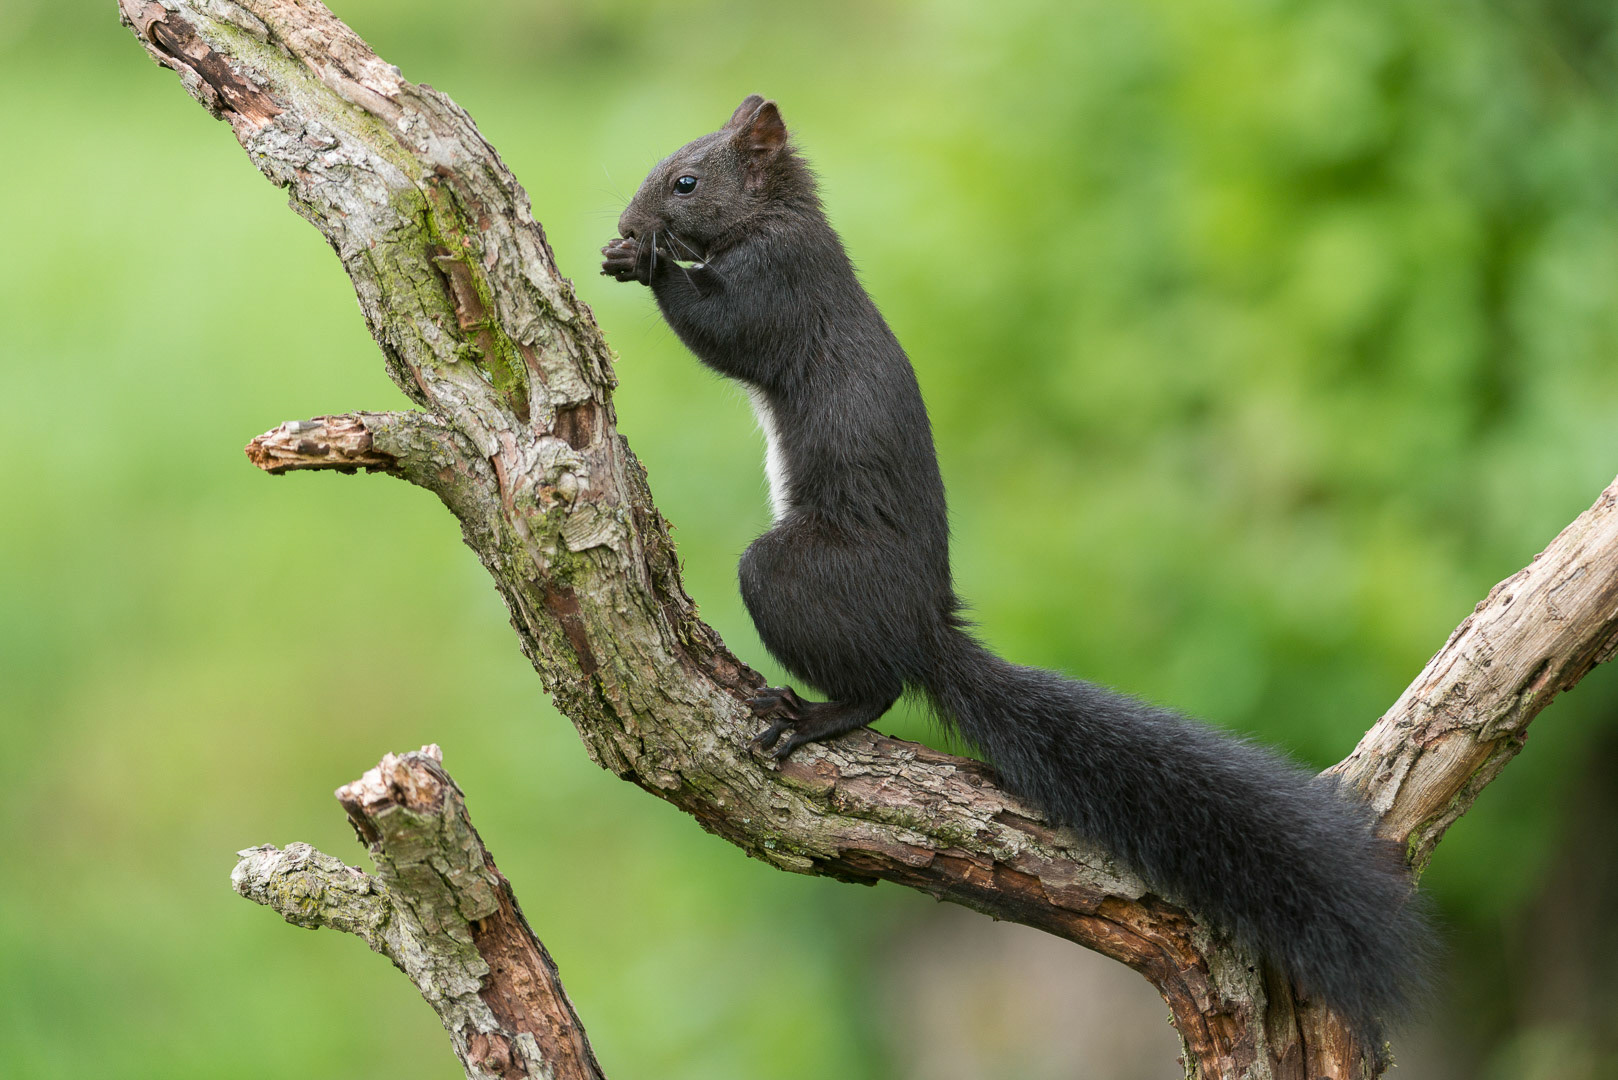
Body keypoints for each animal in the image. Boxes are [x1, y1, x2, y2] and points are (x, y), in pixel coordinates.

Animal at [602, 95, 1429, 1041]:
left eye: (686, 180)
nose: (627, 219)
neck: (780, 219)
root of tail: (924, 628)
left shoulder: (780, 283)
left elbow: (723, 330)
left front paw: (642, 261)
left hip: (786, 575)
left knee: (879, 688)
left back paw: (807, 716)